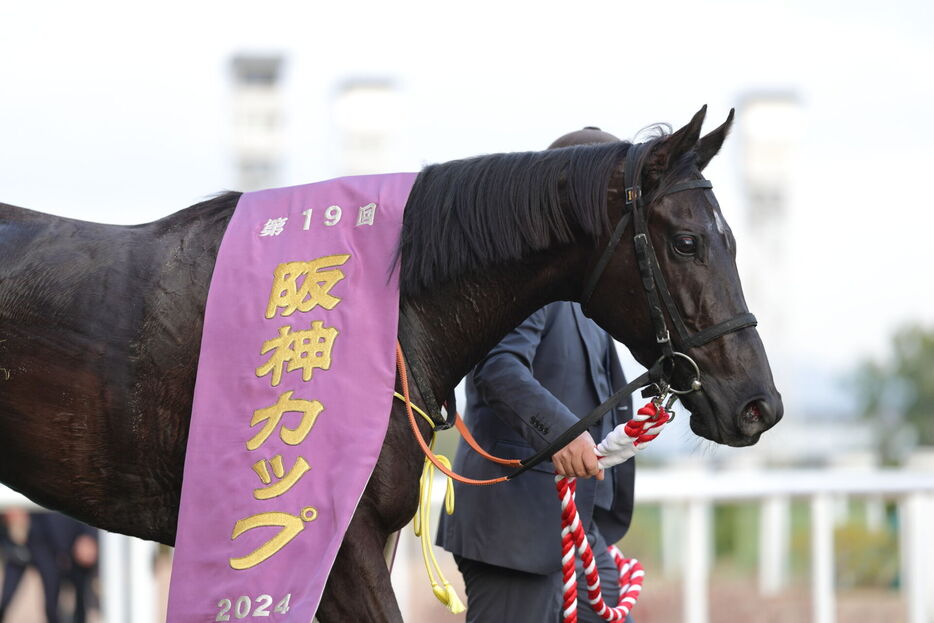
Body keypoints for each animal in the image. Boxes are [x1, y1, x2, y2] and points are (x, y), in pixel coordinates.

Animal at [0, 108, 784, 623]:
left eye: (731, 239)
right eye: (686, 241)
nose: (758, 403)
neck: (383, 315)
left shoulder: (355, 542)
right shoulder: (329, 543)